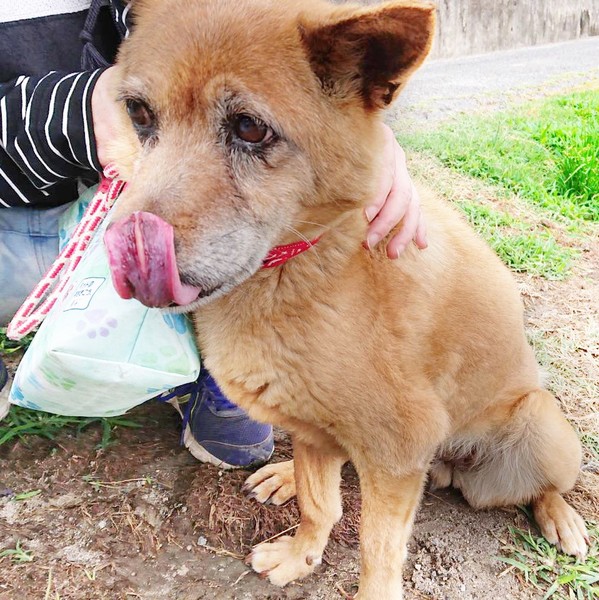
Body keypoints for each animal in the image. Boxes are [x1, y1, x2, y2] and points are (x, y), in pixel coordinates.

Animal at [103, 0, 589, 597]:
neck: (305, 259)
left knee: (545, 486)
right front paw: (301, 554)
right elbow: (320, 504)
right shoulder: (320, 428)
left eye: (249, 127)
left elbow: (377, 549)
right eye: (139, 113)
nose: (128, 251)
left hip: (540, 428)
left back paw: (562, 518)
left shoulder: (400, 450)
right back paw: (284, 475)